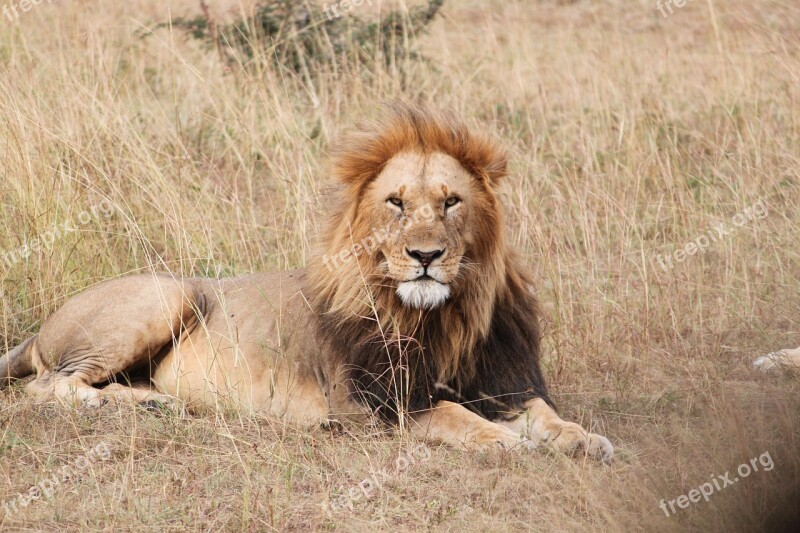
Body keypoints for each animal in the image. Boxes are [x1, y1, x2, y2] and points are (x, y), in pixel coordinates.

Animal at [0, 104, 612, 462]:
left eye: (451, 202)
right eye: (396, 203)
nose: (425, 256)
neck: (443, 317)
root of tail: (41, 327)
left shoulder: (502, 380)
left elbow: (544, 413)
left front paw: (583, 437)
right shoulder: (373, 406)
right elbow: (454, 416)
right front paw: (504, 440)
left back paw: (155, 403)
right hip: (166, 295)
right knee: (48, 386)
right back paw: (127, 405)